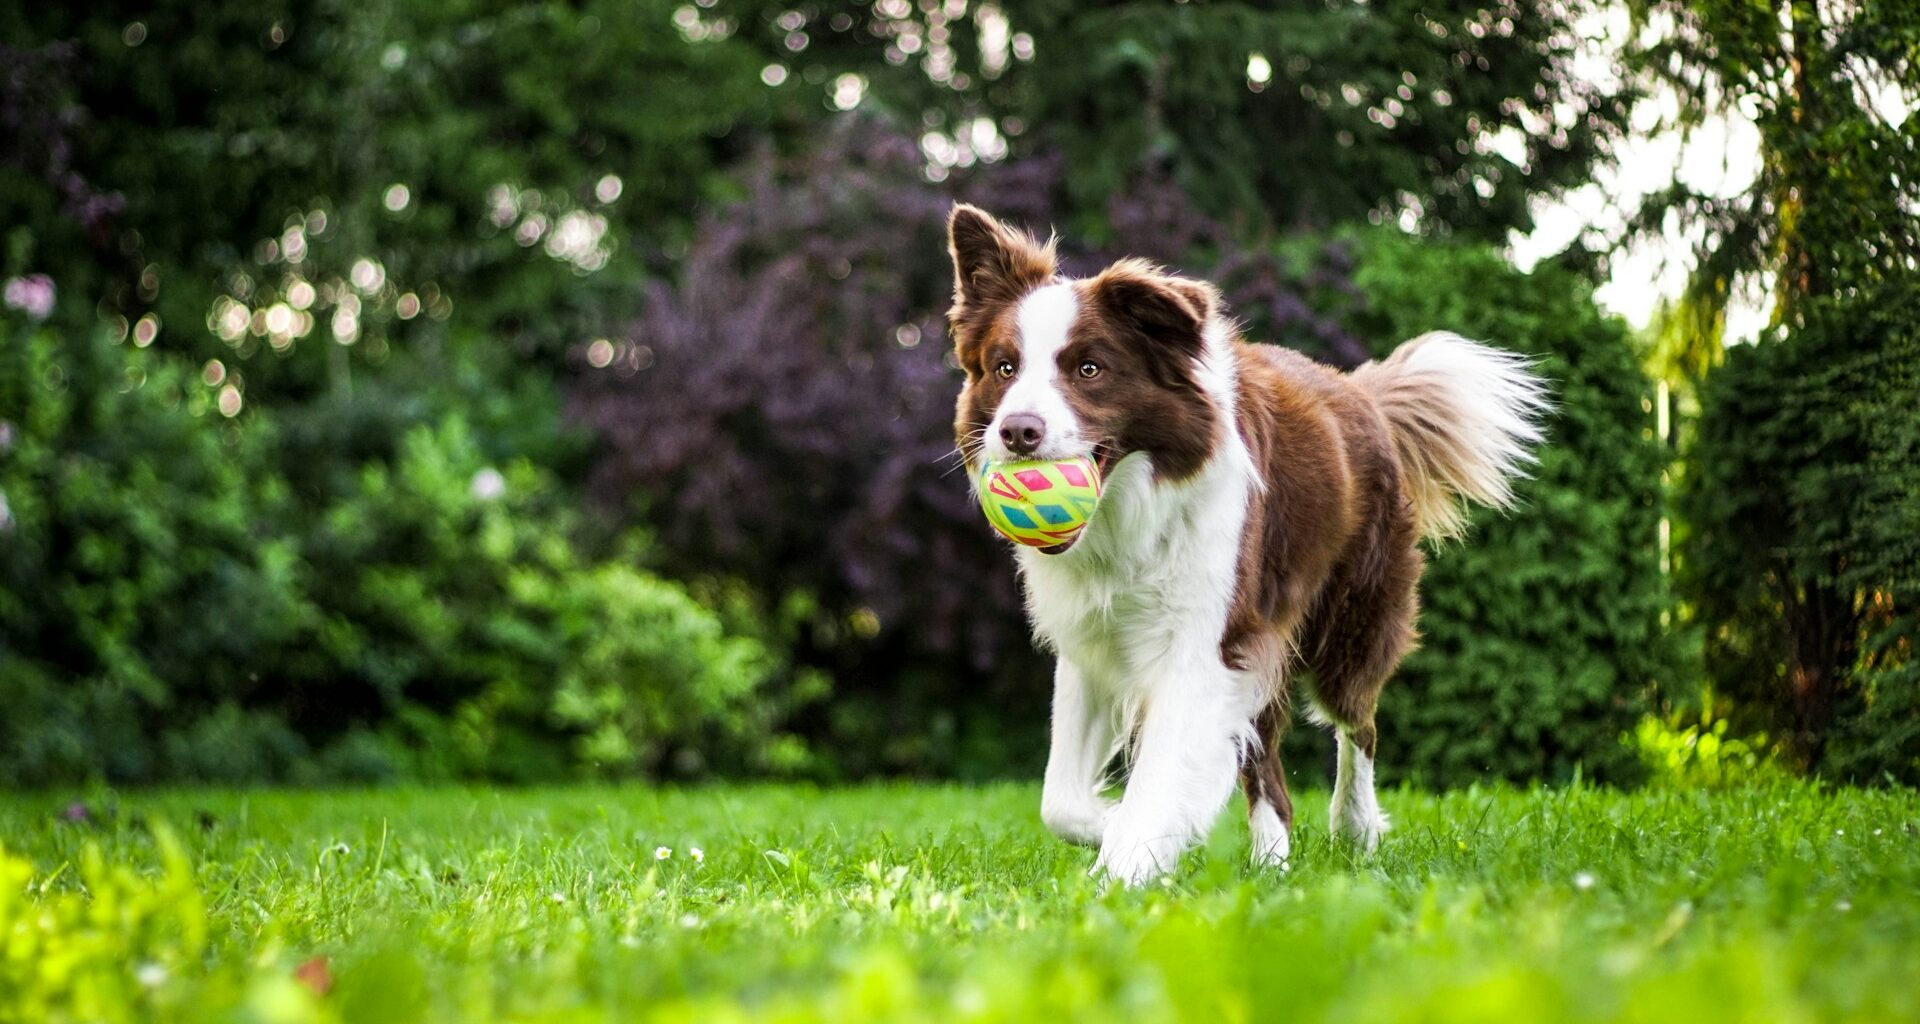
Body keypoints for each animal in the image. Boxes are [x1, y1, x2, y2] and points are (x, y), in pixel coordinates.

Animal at [952, 203, 1551, 883]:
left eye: (1089, 369)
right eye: (1005, 368)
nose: (1017, 431)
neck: (1129, 512)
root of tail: (1361, 393)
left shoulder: (1205, 642)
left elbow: (1159, 775)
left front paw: (1126, 866)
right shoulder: (1095, 642)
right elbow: (1060, 801)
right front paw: (1128, 831)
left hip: (1349, 621)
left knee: (1358, 723)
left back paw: (1355, 828)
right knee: (1268, 766)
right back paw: (1272, 864)